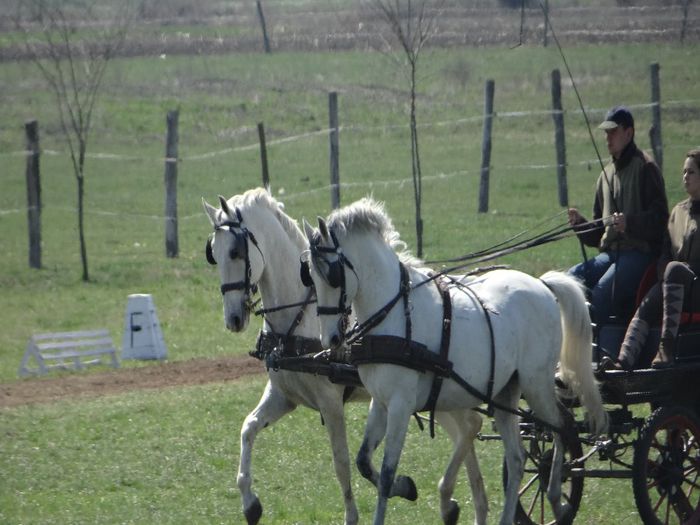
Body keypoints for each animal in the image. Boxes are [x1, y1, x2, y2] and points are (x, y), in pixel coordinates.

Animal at [202, 188, 486, 524]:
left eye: (235, 252)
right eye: (213, 253)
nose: (233, 319)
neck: (301, 318)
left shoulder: (331, 403)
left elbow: (342, 464)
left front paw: (357, 511)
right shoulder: (283, 397)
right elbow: (248, 428)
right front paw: (250, 503)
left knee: (470, 427)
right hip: (439, 396)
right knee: (467, 431)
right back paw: (467, 504)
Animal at [300, 196, 608, 524]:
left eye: (332, 275)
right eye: (309, 276)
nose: (331, 339)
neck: (395, 312)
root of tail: (542, 285)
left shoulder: (400, 405)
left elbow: (385, 473)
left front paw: (403, 491)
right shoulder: (380, 403)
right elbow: (363, 462)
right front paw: (407, 487)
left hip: (535, 383)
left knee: (561, 426)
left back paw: (556, 498)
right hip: (505, 392)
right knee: (517, 457)